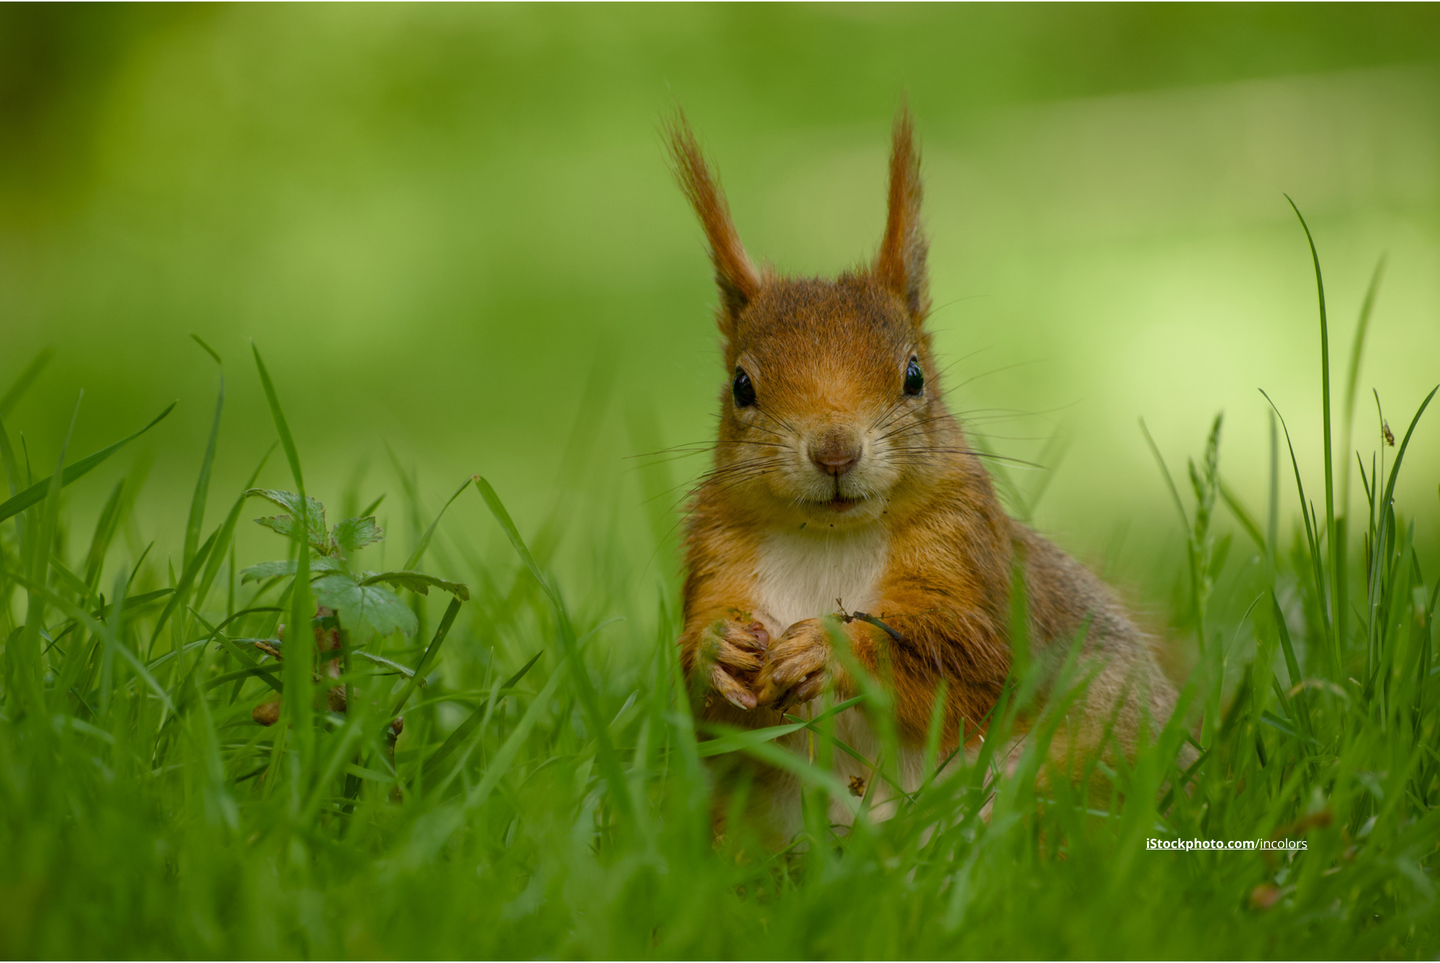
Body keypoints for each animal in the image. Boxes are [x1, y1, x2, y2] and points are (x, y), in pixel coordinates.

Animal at [666, 108, 1181, 837]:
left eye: (913, 375)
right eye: (741, 386)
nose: (834, 451)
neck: (831, 538)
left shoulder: (973, 556)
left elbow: (973, 665)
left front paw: (833, 649)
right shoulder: (714, 559)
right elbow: (708, 714)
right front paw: (719, 649)